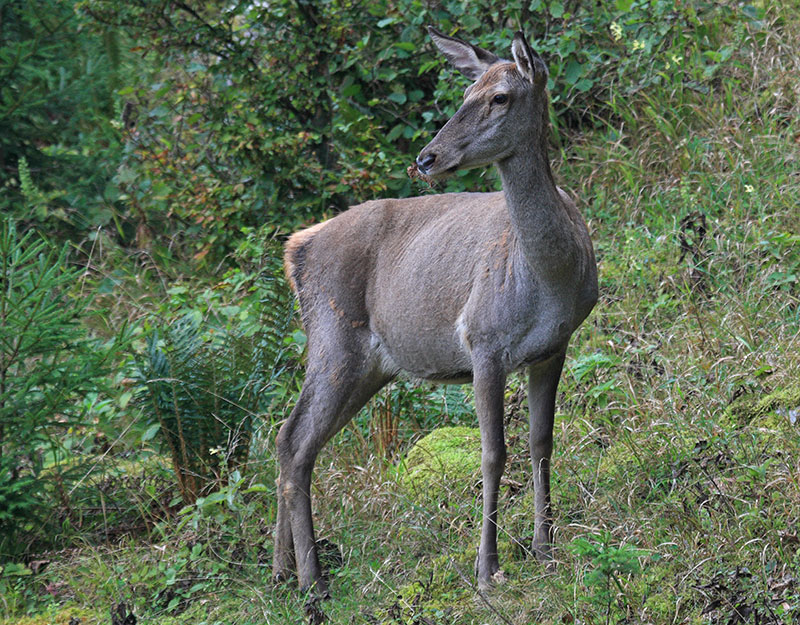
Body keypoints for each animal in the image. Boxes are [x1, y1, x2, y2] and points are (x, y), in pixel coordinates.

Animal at [272, 26, 596, 596]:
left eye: (499, 97)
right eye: (464, 94)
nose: (426, 157)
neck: (553, 275)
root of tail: (296, 250)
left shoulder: (553, 348)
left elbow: (542, 443)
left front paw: (545, 549)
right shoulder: (483, 342)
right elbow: (493, 453)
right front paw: (487, 570)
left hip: (369, 366)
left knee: (293, 442)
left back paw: (283, 572)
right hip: (333, 339)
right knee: (293, 439)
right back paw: (313, 581)